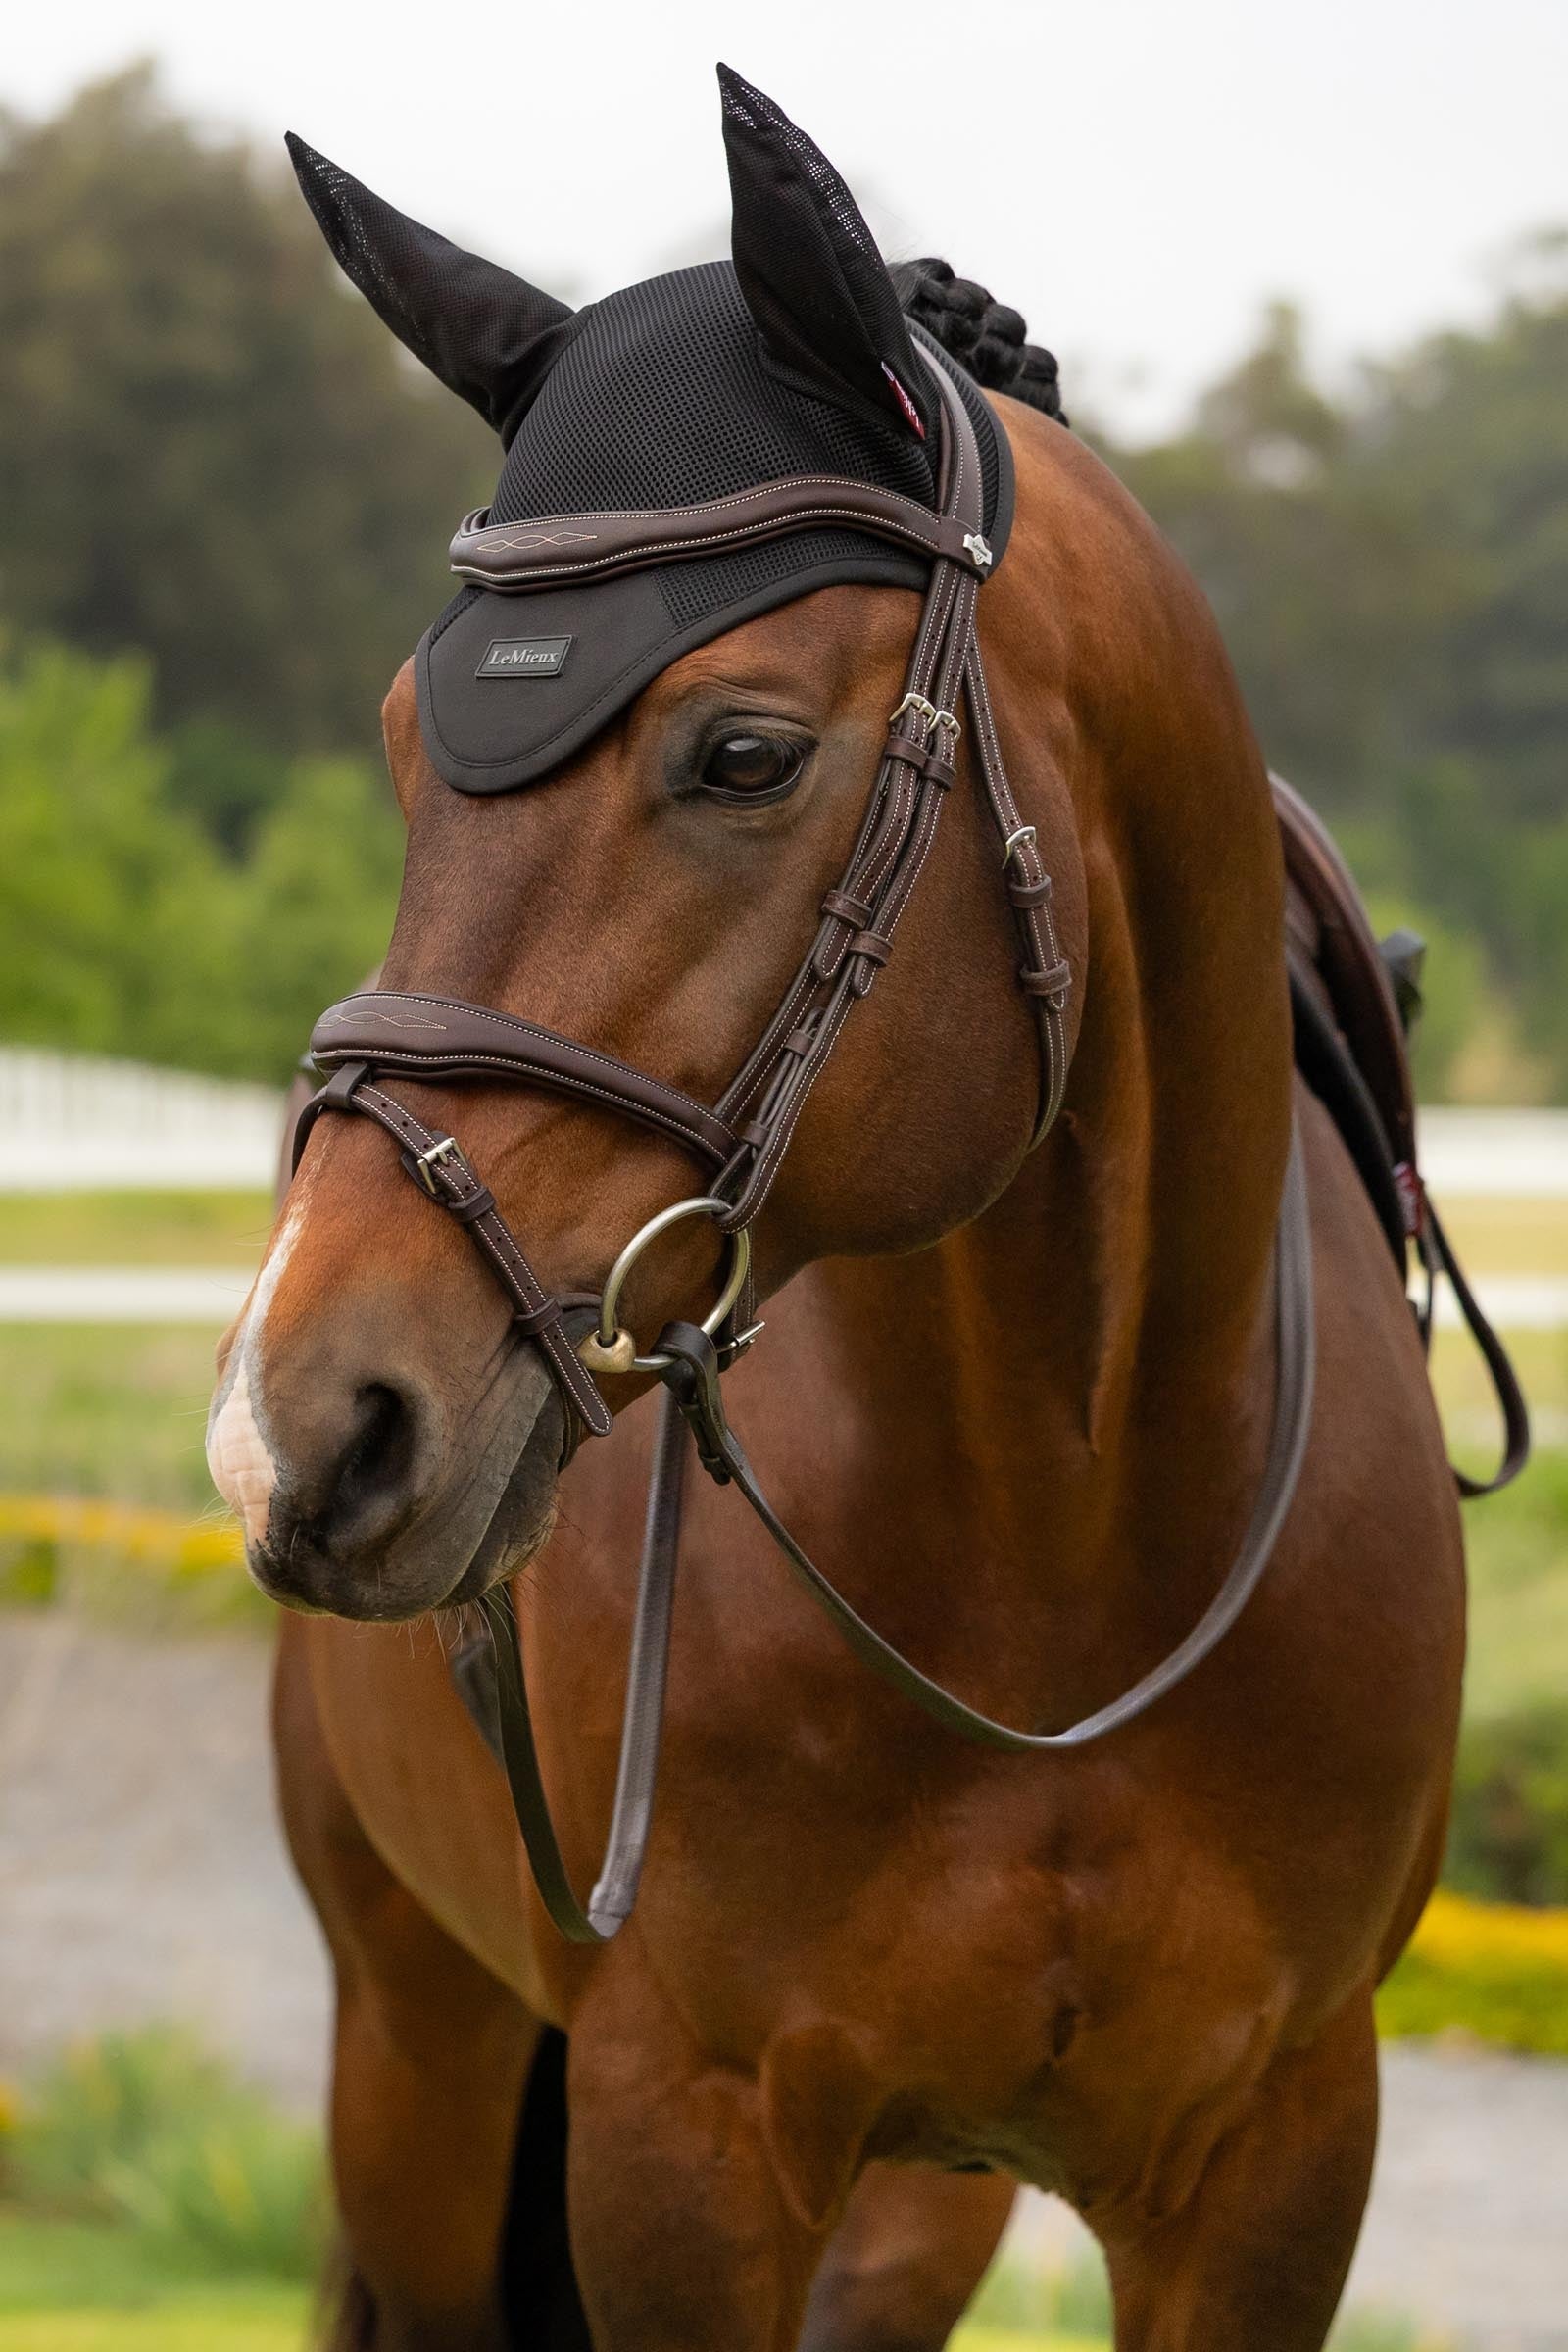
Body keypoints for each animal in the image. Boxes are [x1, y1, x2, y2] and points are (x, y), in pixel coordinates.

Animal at [207, 67, 1472, 2352]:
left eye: (741, 754)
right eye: (407, 746)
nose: (307, 1422)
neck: (1074, 1548)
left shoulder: (1273, 2167)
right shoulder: (679, 2148)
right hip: (419, 2050)